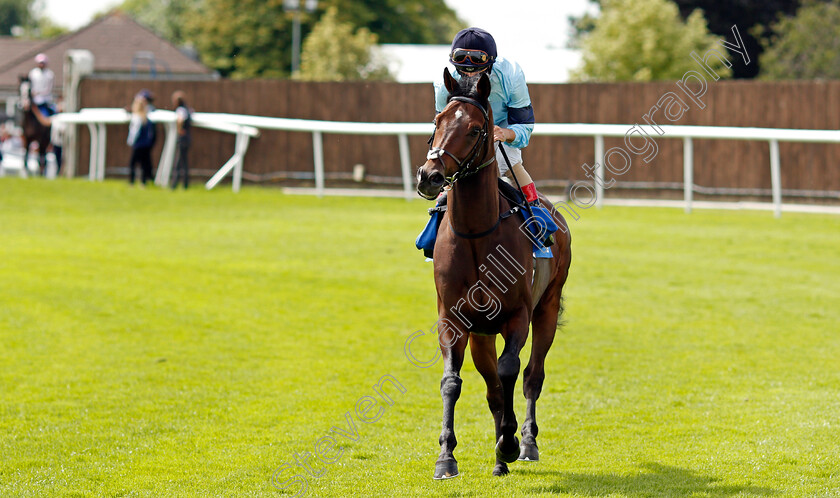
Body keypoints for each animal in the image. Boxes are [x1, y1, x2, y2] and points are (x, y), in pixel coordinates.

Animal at [416, 70, 576, 478]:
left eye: (475, 129)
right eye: (437, 121)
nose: (430, 176)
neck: (476, 234)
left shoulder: (517, 315)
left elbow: (510, 371)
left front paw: (510, 442)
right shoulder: (454, 319)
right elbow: (453, 382)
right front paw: (446, 457)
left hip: (547, 307)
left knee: (532, 376)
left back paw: (526, 443)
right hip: (481, 334)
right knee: (492, 390)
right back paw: (500, 460)